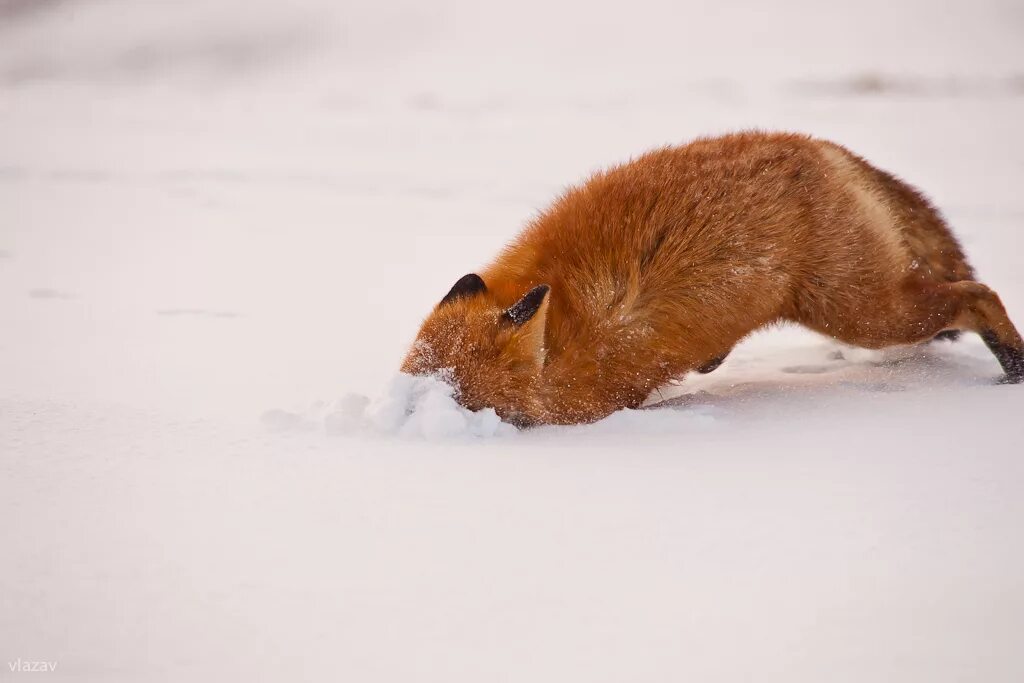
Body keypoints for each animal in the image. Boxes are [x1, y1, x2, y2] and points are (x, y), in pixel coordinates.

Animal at [401, 131, 1024, 423]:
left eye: (458, 401)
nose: (406, 418)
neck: (564, 335)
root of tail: (821, 147)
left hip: (865, 313)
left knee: (979, 293)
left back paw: (1014, 369)